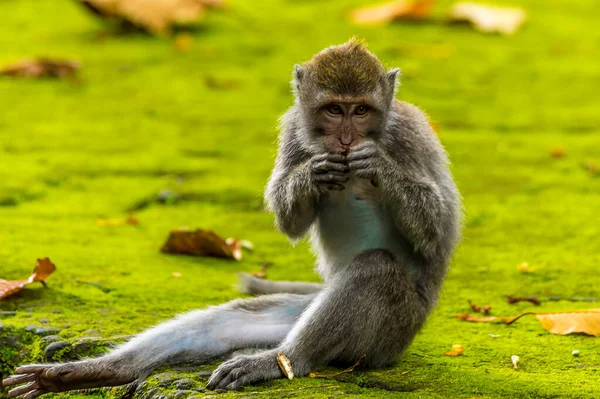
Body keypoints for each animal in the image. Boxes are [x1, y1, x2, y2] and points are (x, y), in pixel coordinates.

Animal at [3, 38, 460, 399]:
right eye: (334, 109)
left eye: (361, 111)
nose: (346, 139)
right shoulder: (293, 130)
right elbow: (291, 222)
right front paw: (311, 174)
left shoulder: (411, 134)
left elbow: (440, 232)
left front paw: (377, 165)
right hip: (300, 311)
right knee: (226, 323)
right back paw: (96, 371)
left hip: (391, 333)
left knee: (375, 271)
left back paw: (283, 360)